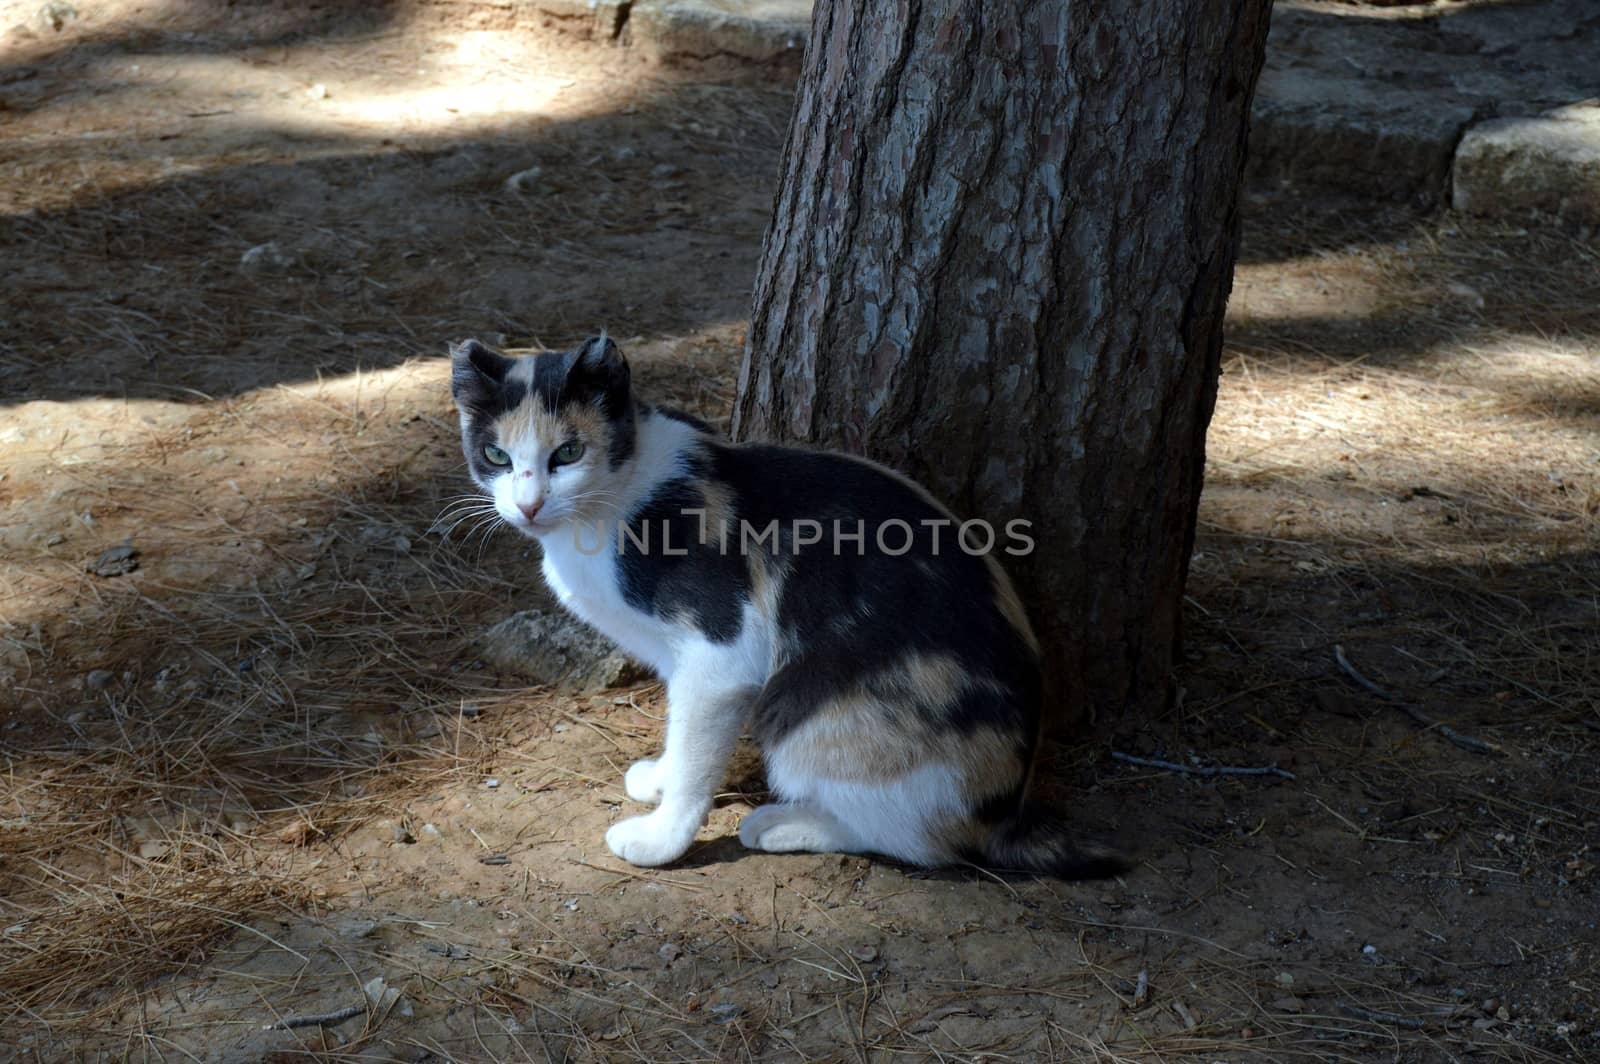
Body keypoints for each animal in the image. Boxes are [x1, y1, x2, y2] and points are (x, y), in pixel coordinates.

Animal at [451, 336, 1126, 876]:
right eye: (496, 457)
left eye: (567, 453)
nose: (528, 505)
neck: (616, 498)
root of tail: (1008, 807)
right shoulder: (676, 658)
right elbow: (680, 726)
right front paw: (661, 776)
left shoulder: (721, 653)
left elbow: (698, 752)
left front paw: (662, 839)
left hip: (807, 714)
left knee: (928, 842)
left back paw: (782, 824)